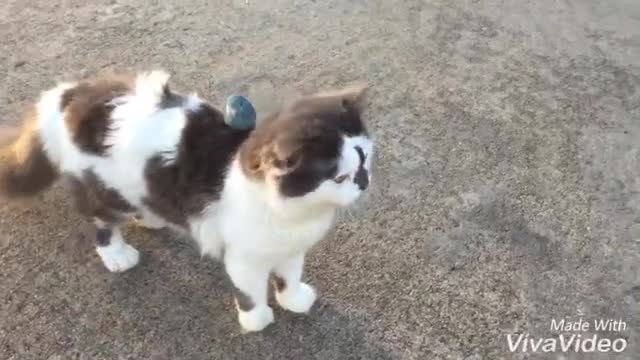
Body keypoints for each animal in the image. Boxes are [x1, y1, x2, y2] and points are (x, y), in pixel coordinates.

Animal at [0, 71, 376, 334]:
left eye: (365, 160)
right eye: (339, 177)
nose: (364, 182)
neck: (293, 214)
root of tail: (70, 94)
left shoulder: (290, 249)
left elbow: (289, 276)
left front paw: (293, 300)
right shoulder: (244, 258)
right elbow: (251, 292)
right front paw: (257, 320)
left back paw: (150, 218)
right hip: (105, 190)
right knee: (102, 224)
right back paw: (118, 256)